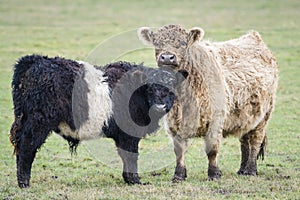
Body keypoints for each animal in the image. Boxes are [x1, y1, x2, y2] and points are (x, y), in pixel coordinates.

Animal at [138, 24, 278, 181]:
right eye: (157, 43)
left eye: (183, 43)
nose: (167, 57)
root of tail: (253, 36)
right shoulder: (173, 123)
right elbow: (179, 150)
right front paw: (179, 175)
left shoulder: (216, 120)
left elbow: (212, 150)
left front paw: (214, 174)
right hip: (246, 117)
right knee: (244, 140)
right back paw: (242, 169)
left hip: (264, 116)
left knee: (255, 141)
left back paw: (251, 170)